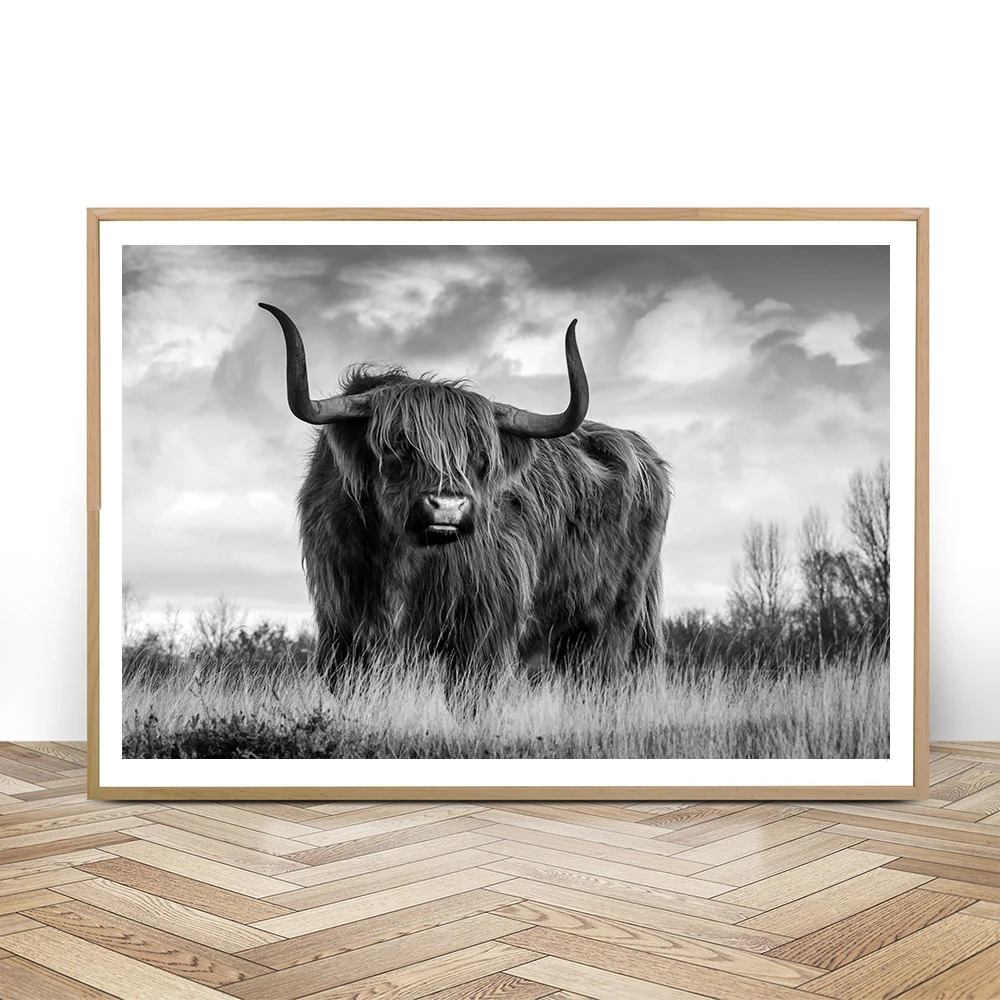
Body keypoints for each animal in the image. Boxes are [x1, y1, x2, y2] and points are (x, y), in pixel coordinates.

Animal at [260, 302, 672, 697]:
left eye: (480, 456)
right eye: (397, 447)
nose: (447, 506)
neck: (401, 560)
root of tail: (644, 452)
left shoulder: (484, 630)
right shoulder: (342, 629)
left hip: (612, 624)